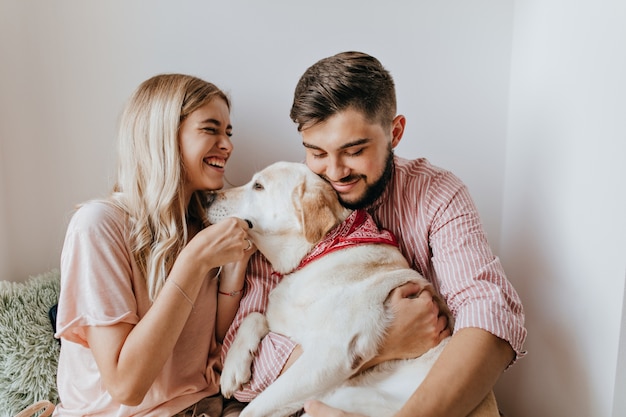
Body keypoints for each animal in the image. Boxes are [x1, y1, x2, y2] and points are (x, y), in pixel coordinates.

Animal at [207, 162, 494, 416]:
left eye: (258, 186)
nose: (208, 196)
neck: (318, 251)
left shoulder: (331, 354)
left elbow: (256, 407)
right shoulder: (283, 322)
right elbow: (253, 316)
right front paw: (233, 368)